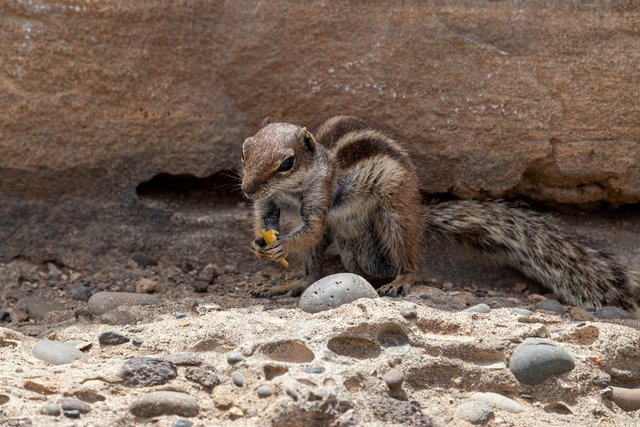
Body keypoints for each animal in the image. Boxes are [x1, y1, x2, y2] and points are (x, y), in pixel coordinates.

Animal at [240, 114, 640, 314]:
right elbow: (265, 215)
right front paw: (259, 242)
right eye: (245, 150)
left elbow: (309, 228)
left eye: (287, 163)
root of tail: (420, 216)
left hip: (394, 216)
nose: (246, 188)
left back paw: (400, 280)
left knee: (407, 257)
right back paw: (291, 283)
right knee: (313, 271)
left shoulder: (320, 197)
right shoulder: (269, 201)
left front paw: (280, 246)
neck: (290, 191)